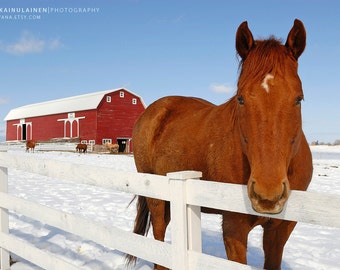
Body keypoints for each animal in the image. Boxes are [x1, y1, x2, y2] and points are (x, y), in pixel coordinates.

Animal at [128, 19, 314, 270]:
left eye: (298, 99)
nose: (268, 194)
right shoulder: (234, 226)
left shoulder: (281, 229)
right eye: (240, 98)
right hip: (156, 195)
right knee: (159, 233)